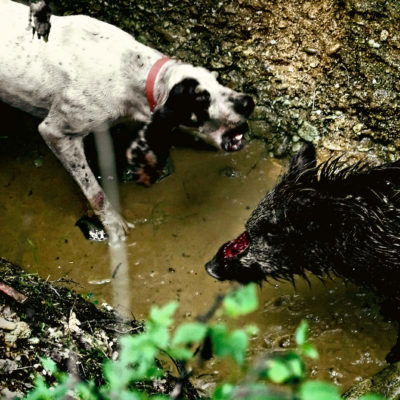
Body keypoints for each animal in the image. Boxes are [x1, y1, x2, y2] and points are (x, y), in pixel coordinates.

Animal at [0, 0, 255, 244]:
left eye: (219, 81)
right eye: (202, 98)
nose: (248, 102)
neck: (133, 72)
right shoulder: (57, 133)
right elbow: (95, 191)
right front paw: (115, 226)